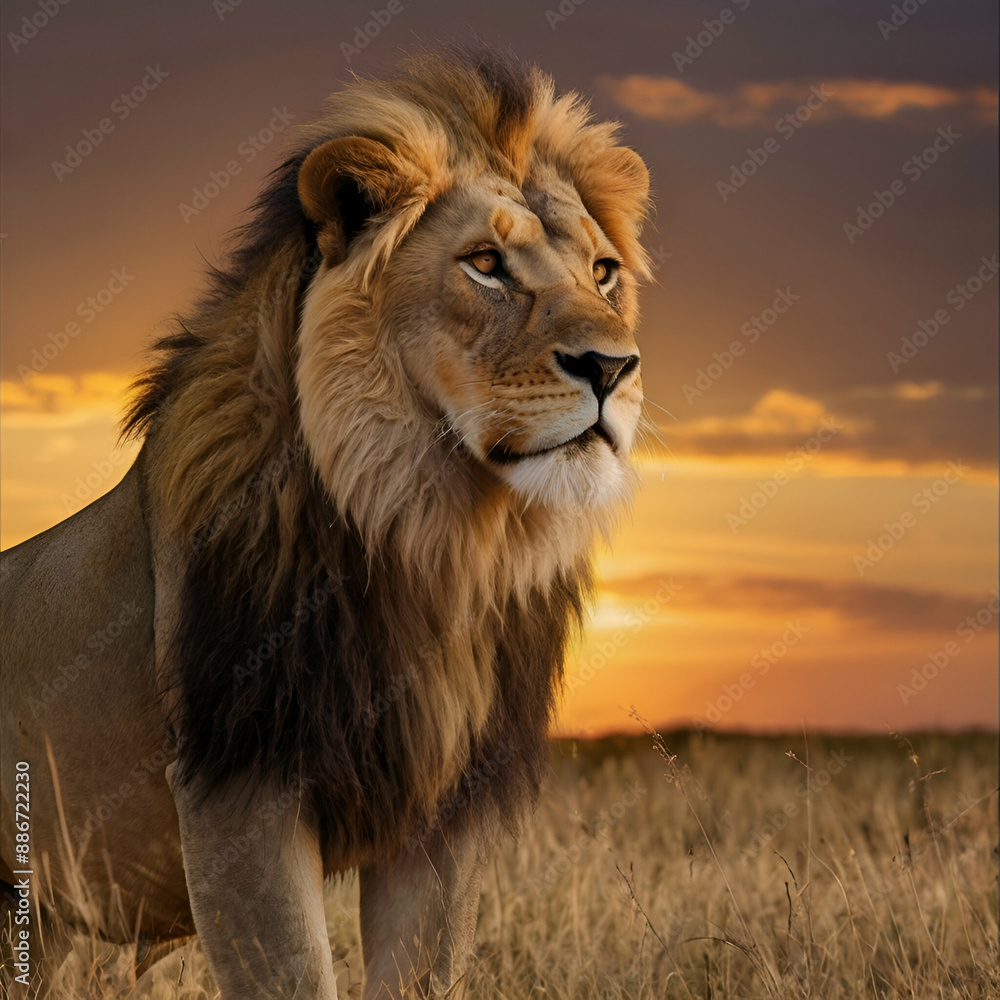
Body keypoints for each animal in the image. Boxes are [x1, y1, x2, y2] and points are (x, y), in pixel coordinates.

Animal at [0, 47, 651, 998]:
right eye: (485, 263)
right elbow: (293, 974)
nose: (613, 367)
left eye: (603, 272)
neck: (433, 538)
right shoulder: (239, 785)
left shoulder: (442, 804)